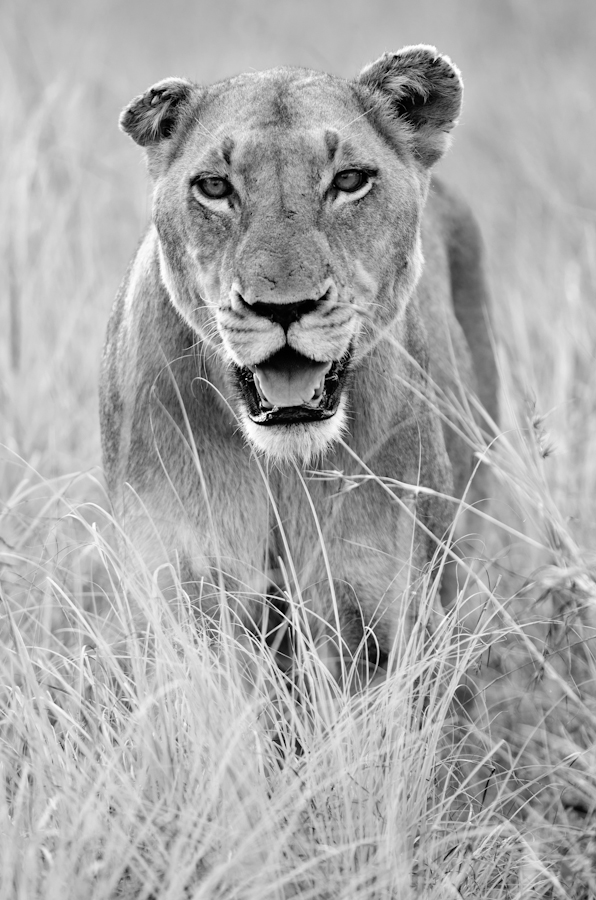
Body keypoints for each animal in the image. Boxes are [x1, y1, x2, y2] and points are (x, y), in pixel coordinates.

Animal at [100, 46, 497, 682]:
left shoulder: (387, 607)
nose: (283, 307)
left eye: (349, 180)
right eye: (215, 186)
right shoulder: (177, 592)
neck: (280, 469)